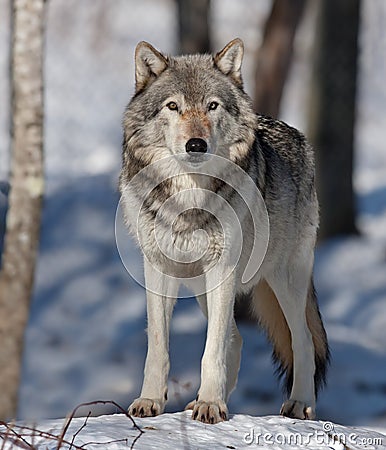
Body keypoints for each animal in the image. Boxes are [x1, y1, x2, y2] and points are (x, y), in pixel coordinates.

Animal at [118, 37, 328, 422]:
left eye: (212, 106)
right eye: (173, 106)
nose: (196, 145)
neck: (189, 198)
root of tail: (297, 135)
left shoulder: (223, 269)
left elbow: (211, 349)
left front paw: (211, 405)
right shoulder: (157, 268)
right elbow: (159, 345)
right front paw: (151, 401)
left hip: (283, 278)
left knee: (302, 340)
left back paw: (299, 405)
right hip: (204, 286)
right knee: (238, 338)